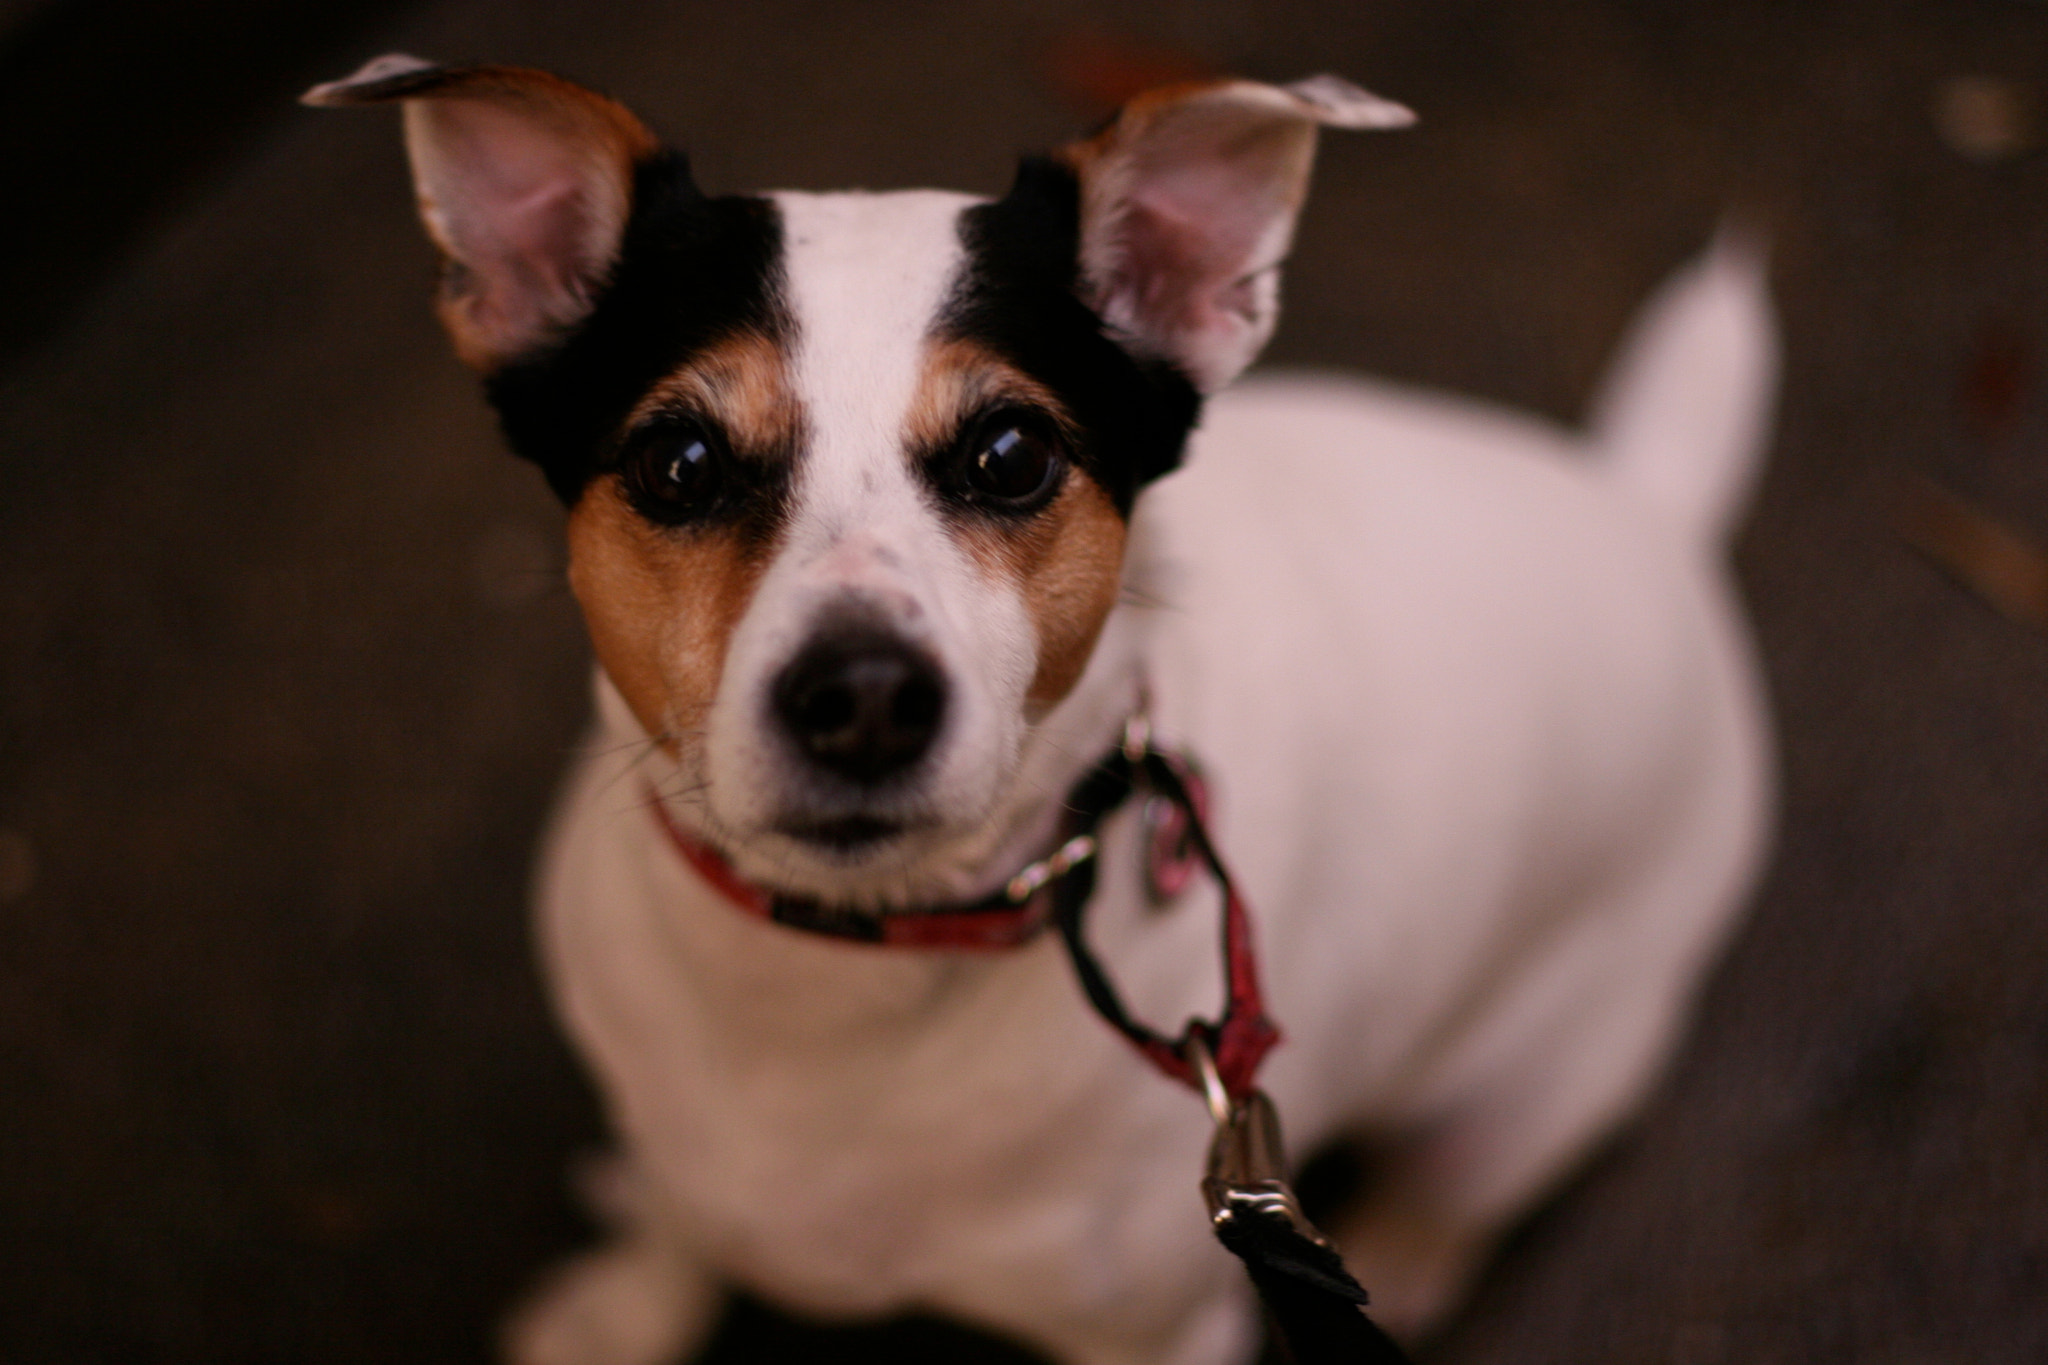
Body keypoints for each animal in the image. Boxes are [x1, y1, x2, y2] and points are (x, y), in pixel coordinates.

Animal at [303, 53, 1777, 1365]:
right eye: (679, 461)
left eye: (1011, 454)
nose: (862, 697)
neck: (853, 969)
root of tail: (1642, 506)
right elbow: (675, 1213)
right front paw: (625, 1306)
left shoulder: (1159, 1336)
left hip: (1537, 1080)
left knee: (1461, 1187)